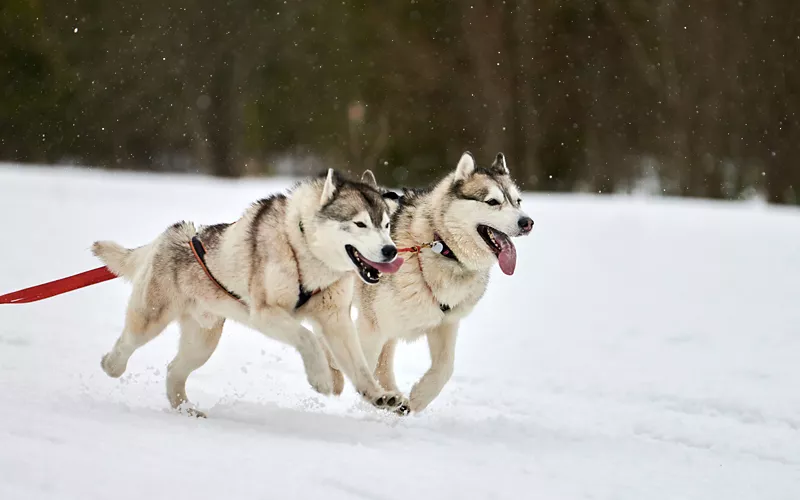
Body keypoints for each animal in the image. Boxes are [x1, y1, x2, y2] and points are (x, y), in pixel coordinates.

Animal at [90, 170, 410, 416]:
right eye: (360, 224)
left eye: (386, 225)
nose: (391, 251)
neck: (304, 248)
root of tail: (167, 236)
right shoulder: (266, 313)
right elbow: (308, 338)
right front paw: (320, 379)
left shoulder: (336, 321)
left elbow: (360, 366)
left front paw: (379, 396)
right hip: (151, 319)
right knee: (128, 343)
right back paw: (111, 364)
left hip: (202, 343)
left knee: (173, 370)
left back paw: (185, 409)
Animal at [354, 152, 532, 414]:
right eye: (492, 202)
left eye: (517, 201)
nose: (527, 222)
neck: (440, 245)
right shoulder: (371, 324)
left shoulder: (445, 324)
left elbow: (446, 367)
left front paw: (419, 397)